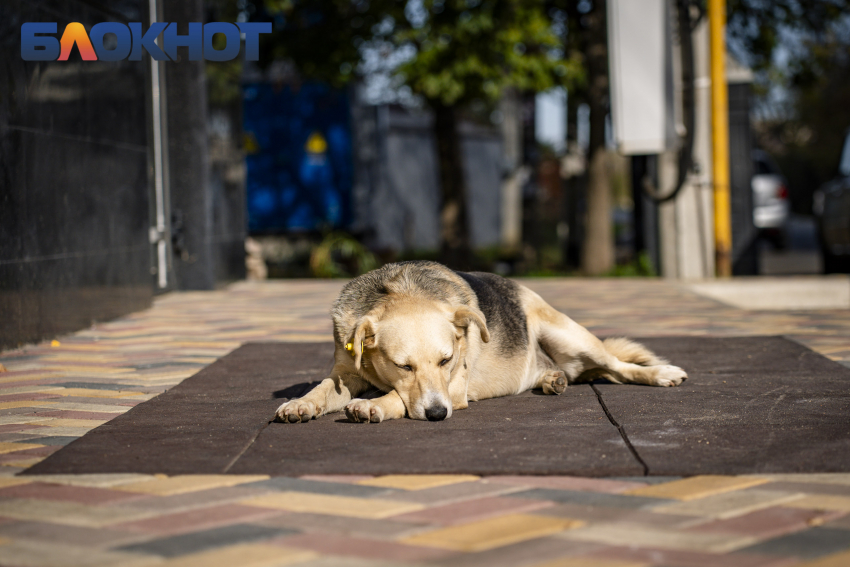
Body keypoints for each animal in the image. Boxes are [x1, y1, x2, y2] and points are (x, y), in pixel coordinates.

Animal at [274, 260, 684, 422]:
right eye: (403, 365)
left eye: (446, 360)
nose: (437, 415)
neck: (400, 290)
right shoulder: (346, 373)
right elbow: (322, 389)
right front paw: (301, 404)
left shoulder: (453, 387)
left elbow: (395, 398)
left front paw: (374, 405)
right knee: (585, 373)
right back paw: (551, 379)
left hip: (570, 336)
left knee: (617, 368)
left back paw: (661, 373)